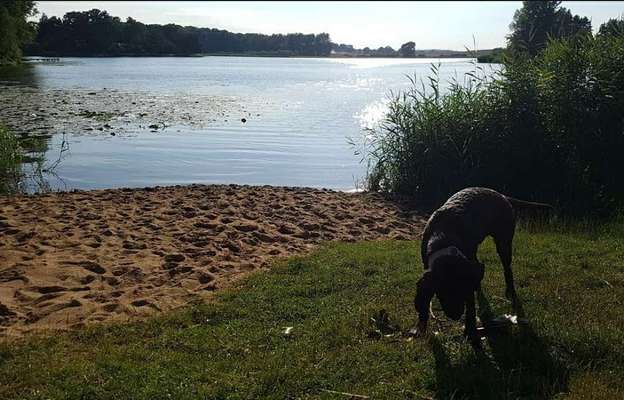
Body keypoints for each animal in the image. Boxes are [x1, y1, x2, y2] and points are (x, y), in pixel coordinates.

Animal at [414, 188, 552, 340]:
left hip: (503, 244)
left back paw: (510, 292)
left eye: (461, 291)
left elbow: (470, 307)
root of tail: (501, 195)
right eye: (441, 293)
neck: (443, 237)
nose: (455, 315)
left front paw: (470, 331)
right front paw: (421, 327)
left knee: (507, 269)